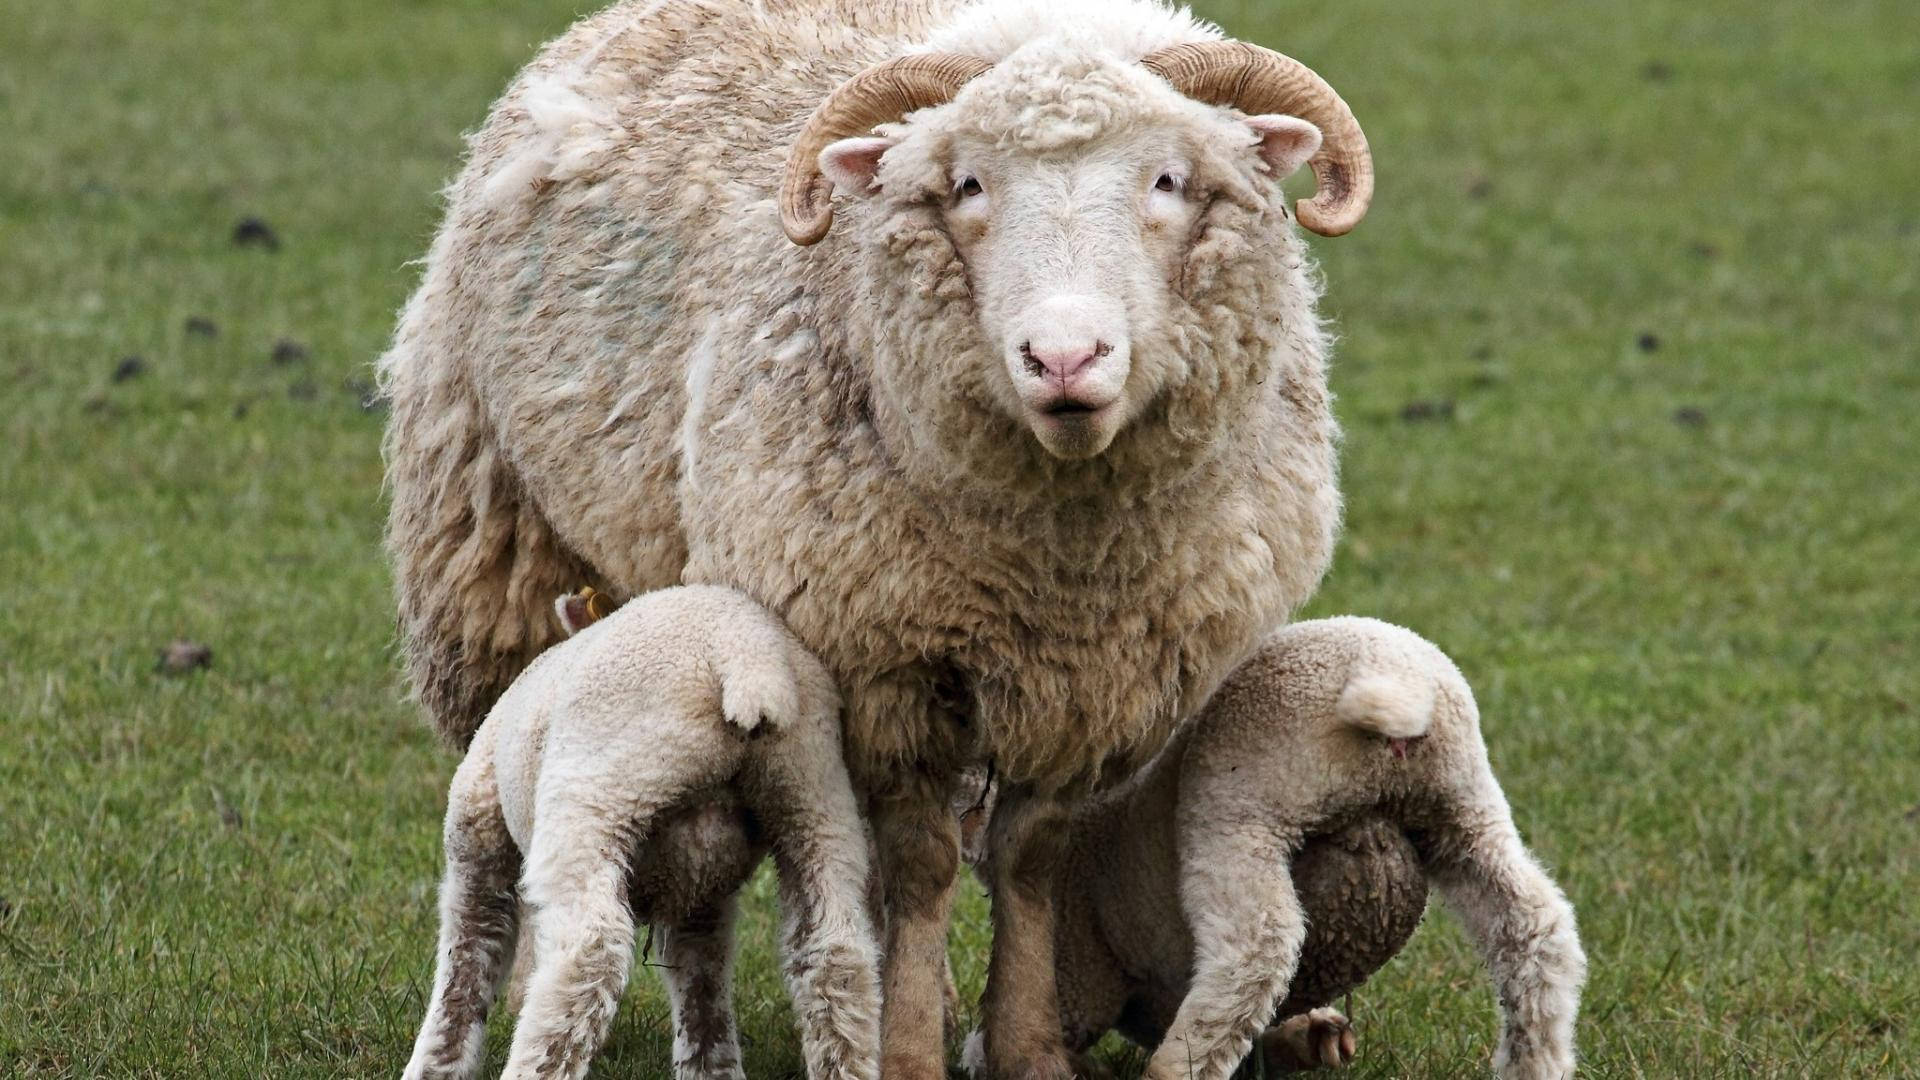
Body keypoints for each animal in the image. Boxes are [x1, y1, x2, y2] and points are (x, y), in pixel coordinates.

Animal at [410, 588, 883, 1076]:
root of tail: (747, 656)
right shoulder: (701, 890)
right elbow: (699, 973)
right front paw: (709, 1066)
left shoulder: (477, 826)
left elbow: (468, 952)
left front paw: (434, 1066)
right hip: (815, 795)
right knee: (835, 953)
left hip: (596, 794)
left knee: (588, 953)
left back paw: (536, 1062)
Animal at [975, 614, 1589, 1076]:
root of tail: (1391, 680)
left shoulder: (1078, 956)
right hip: (1463, 804)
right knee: (1534, 926)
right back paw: (1538, 1061)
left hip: (1242, 805)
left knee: (1257, 952)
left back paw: (1178, 1068)